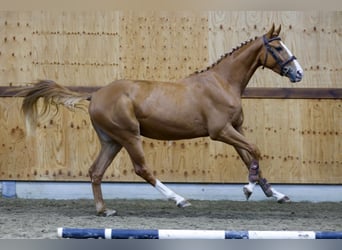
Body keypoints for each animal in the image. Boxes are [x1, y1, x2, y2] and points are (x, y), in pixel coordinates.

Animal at [20, 23, 302, 215]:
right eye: (278, 47)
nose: (298, 73)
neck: (223, 83)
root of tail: (95, 95)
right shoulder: (221, 131)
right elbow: (255, 150)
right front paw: (249, 190)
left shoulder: (235, 128)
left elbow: (250, 158)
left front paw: (275, 193)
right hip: (129, 136)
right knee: (142, 169)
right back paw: (179, 199)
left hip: (112, 141)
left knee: (96, 171)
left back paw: (103, 209)